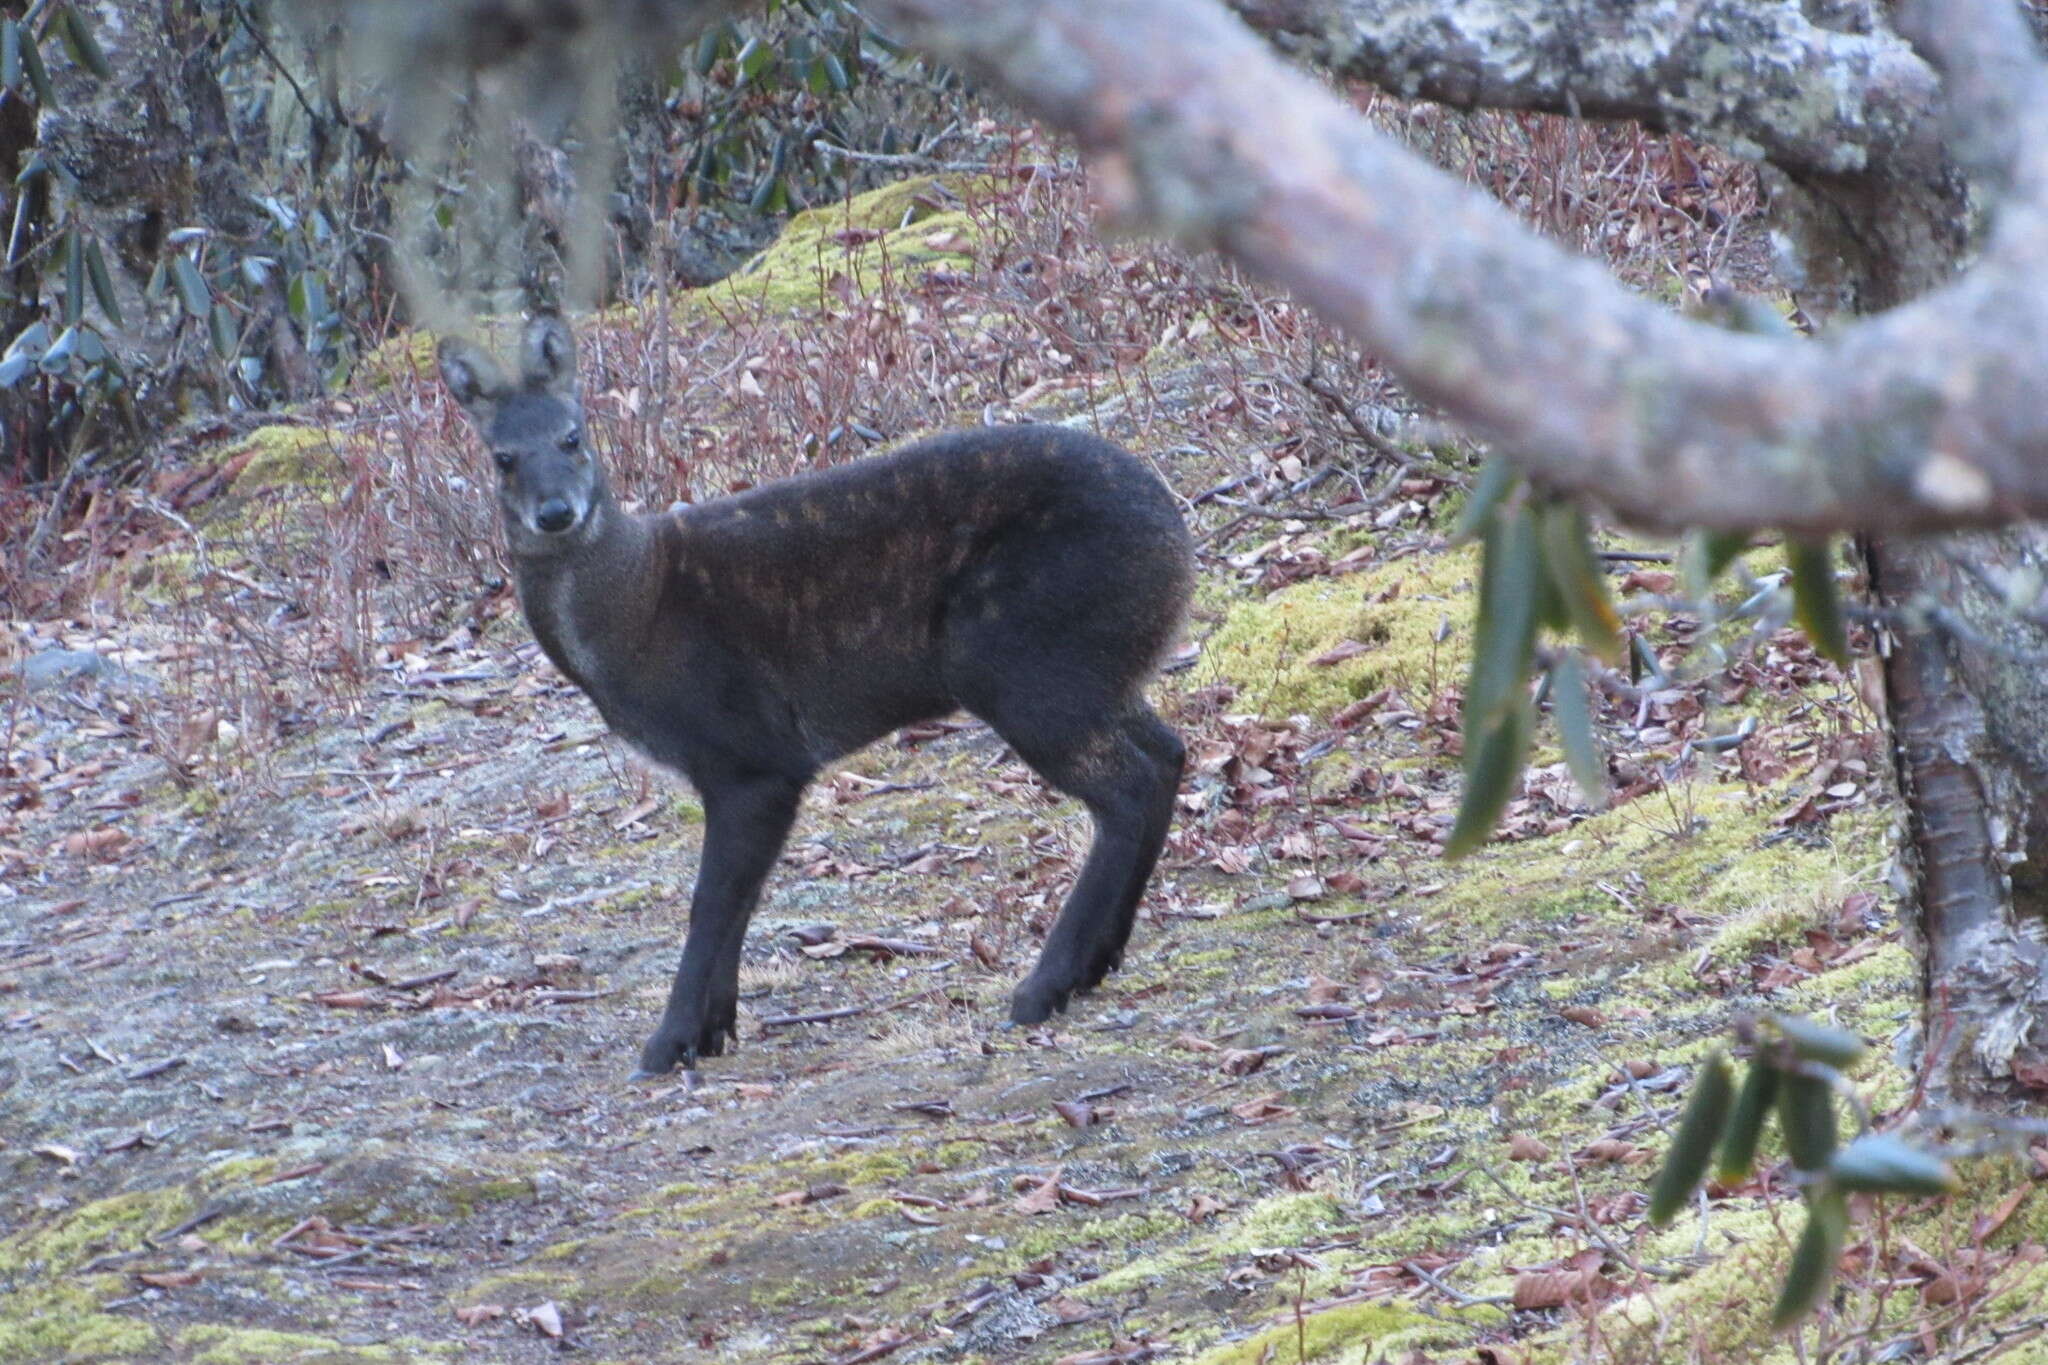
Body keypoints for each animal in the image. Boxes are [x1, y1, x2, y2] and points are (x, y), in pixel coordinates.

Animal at [440, 317, 1196, 1080]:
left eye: (573, 437)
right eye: (502, 457)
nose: (555, 512)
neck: (635, 611)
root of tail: (1177, 538)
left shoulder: (752, 752)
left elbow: (712, 901)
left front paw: (669, 1040)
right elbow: (741, 898)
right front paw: (714, 1028)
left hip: (1018, 659)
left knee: (1126, 787)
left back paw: (1043, 986)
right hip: (1095, 669)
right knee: (1168, 753)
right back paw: (1096, 962)